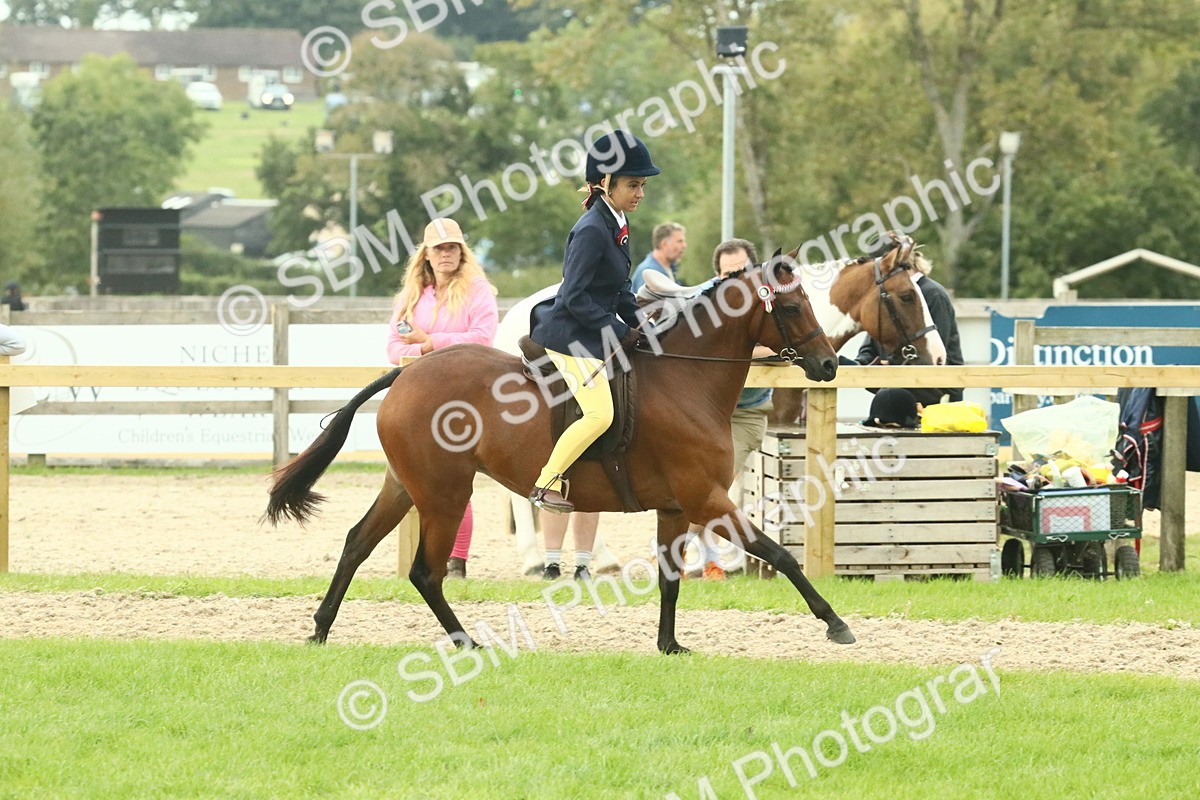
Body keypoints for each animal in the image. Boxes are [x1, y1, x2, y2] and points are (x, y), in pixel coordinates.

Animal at [265, 254, 859, 653]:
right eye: (790, 306)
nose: (829, 365)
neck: (685, 378)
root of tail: (408, 373)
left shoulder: (675, 507)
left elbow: (670, 580)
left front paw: (669, 645)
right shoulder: (707, 499)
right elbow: (779, 555)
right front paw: (835, 623)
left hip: (406, 487)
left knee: (356, 544)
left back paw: (320, 628)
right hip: (444, 495)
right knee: (425, 573)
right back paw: (464, 641)